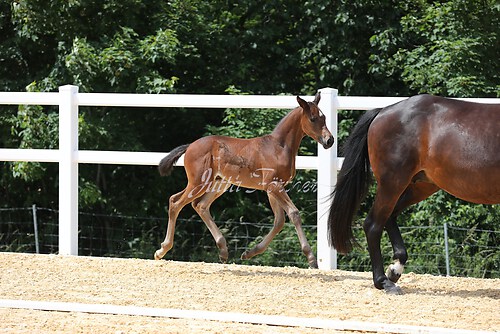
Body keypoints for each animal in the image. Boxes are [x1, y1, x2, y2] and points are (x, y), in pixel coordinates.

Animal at [154, 92, 334, 268]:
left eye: (324, 117)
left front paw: (249, 253)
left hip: (219, 183)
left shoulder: (272, 188)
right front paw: (311, 258)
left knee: (200, 205)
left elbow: (279, 221)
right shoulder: (274, 186)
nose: (329, 140)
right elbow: (294, 214)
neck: (279, 147)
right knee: (175, 202)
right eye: (313, 118)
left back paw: (223, 250)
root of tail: (190, 146)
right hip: (198, 183)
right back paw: (162, 250)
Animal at [328, 94, 500, 294]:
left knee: (390, 216)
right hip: (393, 182)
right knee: (373, 225)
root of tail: (382, 111)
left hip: (421, 185)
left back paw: (394, 270)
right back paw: (384, 282)